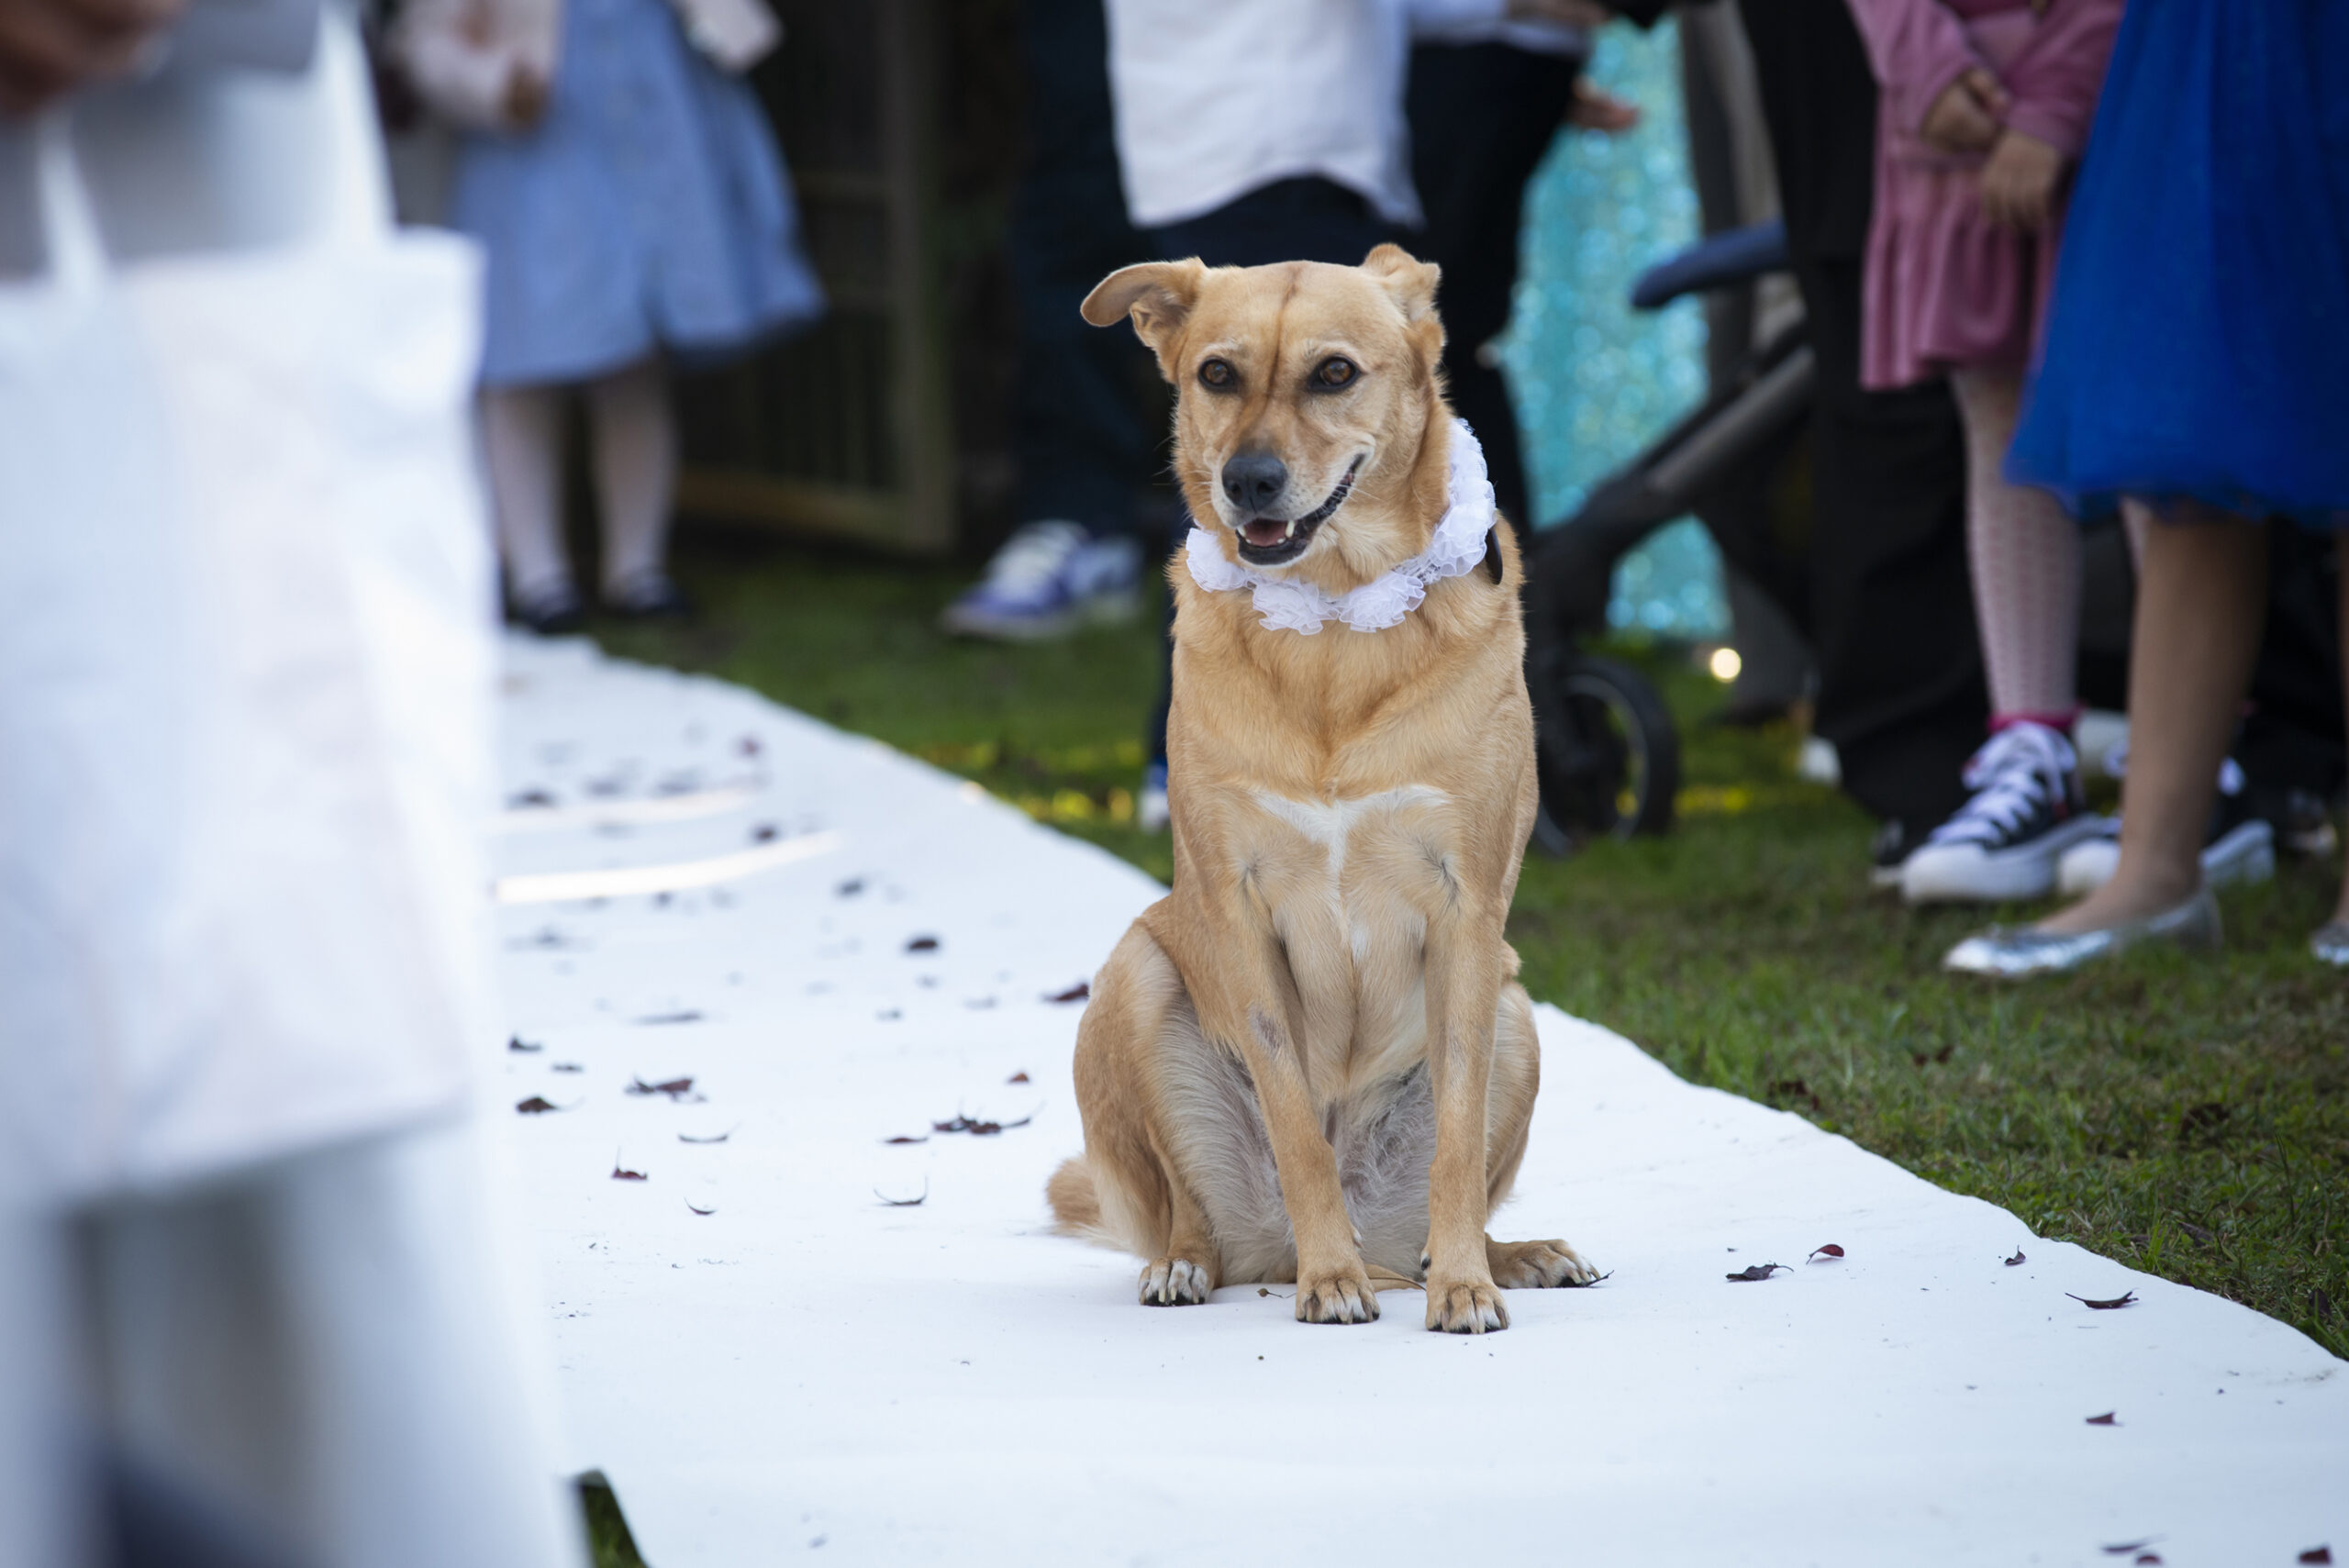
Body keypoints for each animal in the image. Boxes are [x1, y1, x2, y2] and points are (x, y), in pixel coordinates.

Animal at [1045, 245, 1597, 1332]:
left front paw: (1465, 1283)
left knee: (1447, 1203)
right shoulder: (1242, 910)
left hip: (1517, 1010)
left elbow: (1458, 1138)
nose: (1246, 479)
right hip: (1133, 977)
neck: (1337, 621)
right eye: (1216, 373)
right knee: (1192, 1215)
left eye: (1334, 373)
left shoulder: (1468, 912)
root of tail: (1264, 1251)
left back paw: (1502, 1257)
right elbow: (1296, 1118)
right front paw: (1330, 1279)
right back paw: (1202, 1264)